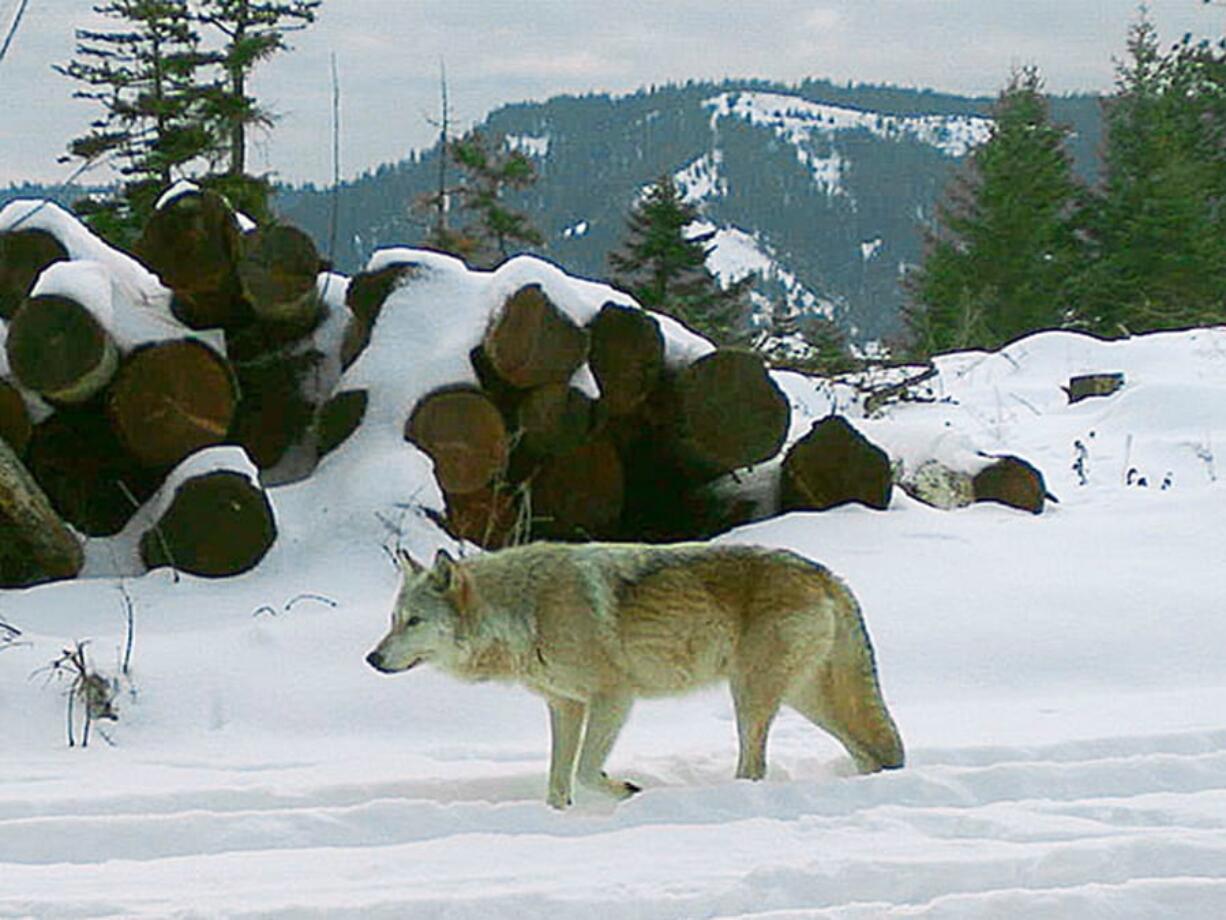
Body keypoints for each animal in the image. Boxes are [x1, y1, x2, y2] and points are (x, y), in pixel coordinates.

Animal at [362, 544, 902, 809]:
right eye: (393, 619)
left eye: (413, 621)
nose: (371, 658)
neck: (525, 611)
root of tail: (826, 574)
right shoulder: (565, 705)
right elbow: (557, 783)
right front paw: (562, 819)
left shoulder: (614, 698)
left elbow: (584, 771)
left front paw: (626, 790)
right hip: (804, 698)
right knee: (869, 753)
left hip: (751, 697)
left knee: (755, 767)